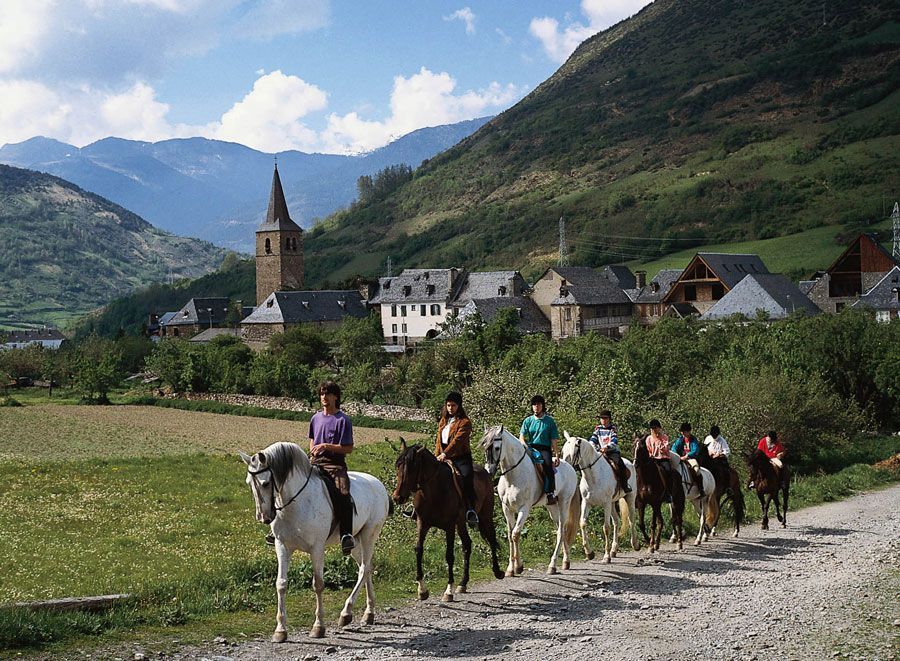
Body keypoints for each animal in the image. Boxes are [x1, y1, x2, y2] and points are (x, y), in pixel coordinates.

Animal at [239, 444, 390, 640]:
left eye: (265, 483)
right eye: (249, 482)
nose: (263, 517)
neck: (296, 504)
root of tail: (378, 484)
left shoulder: (317, 549)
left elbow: (318, 584)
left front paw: (318, 627)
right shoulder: (282, 547)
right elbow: (281, 584)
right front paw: (280, 630)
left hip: (369, 536)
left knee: (364, 569)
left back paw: (346, 613)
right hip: (355, 542)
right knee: (367, 567)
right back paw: (368, 613)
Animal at [394, 436, 506, 600]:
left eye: (412, 468)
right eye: (397, 466)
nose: (397, 497)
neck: (434, 491)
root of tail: (485, 472)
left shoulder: (449, 526)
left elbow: (449, 555)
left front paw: (448, 591)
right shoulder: (422, 523)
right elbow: (418, 550)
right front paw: (422, 589)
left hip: (485, 516)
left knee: (491, 538)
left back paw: (498, 572)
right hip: (461, 523)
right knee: (467, 545)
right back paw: (463, 583)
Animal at [482, 426, 580, 576]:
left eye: (497, 448)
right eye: (484, 446)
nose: (489, 471)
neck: (513, 476)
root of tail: (569, 467)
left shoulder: (524, 508)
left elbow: (516, 534)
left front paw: (518, 567)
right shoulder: (507, 509)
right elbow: (510, 536)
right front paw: (510, 569)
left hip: (564, 503)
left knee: (561, 531)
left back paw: (552, 566)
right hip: (552, 507)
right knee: (561, 529)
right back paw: (566, 561)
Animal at [564, 430, 640, 564]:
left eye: (573, 452)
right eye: (563, 450)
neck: (593, 475)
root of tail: (629, 463)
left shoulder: (606, 504)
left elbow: (606, 528)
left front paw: (606, 557)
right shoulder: (587, 503)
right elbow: (582, 523)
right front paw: (589, 553)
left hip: (629, 498)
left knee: (631, 519)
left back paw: (635, 544)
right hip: (613, 503)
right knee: (616, 521)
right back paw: (614, 550)